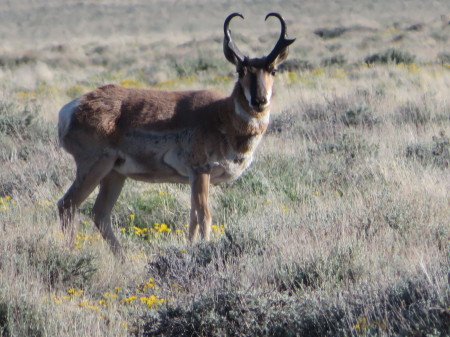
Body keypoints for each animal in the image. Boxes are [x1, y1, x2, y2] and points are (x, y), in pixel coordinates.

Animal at [57, 12, 296, 255]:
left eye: (273, 70)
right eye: (240, 71)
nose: (259, 101)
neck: (220, 115)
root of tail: (73, 106)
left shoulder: (193, 178)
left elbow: (193, 219)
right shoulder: (200, 171)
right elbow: (205, 217)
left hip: (115, 174)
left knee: (100, 214)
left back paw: (122, 258)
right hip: (95, 168)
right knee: (67, 204)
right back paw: (70, 252)